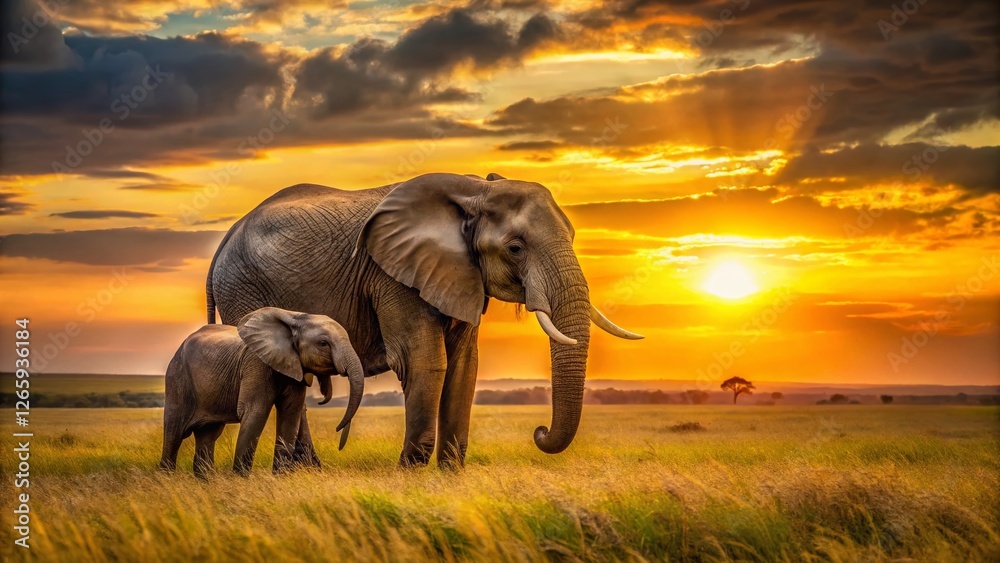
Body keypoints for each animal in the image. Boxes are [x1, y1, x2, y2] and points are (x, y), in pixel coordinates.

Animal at [159, 307, 364, 477]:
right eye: (323, 343)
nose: (338, 430)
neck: (295, 317)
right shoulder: (256, 363)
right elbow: (255, 413)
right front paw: (240, 481)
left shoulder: (294, 370)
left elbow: (290, 415)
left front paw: (280, 478)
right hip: (178, 378)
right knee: (174, 431)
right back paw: (166, 479)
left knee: (208, 434)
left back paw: (206, 482)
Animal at [207, 172, 642, 469]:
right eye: (516, 248)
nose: (539, 432)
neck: (474, 191)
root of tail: (224, 240)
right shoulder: (391, 273)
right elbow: (424, 361)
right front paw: (411, 472)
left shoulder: (462, 274)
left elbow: (465, 365)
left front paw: (450, 472)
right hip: (244, 291)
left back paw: (306, 470)